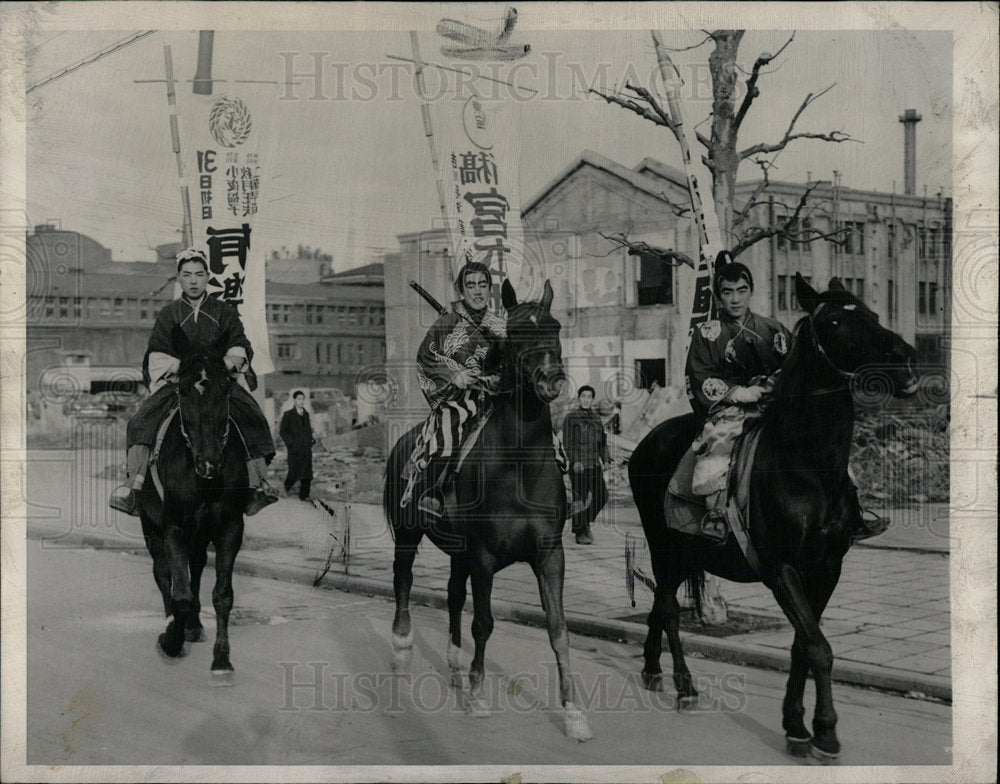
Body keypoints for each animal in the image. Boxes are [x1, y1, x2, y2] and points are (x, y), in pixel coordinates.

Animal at [138, 322, 249, 684]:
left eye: (225, 389)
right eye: (183, 390)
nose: (209, 463)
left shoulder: (230, 526)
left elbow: (222, 594)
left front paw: (222, 658)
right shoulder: (172, 524)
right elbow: (180, 594)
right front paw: (170, 639)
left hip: (201, 532)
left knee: (197, 567)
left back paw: (194, 626)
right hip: (152, 526)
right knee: (164, 574)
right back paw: (175, 624)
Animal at [380, 280, 584, 740]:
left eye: (555, 327)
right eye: (517, 335)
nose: (551, 379)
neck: (520, 465)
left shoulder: (550, 554)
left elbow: (558, 628)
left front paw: (574, 711)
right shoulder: (485, 555)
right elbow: (485, 624)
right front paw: (477, 694)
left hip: (459, 550)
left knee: (455, 594)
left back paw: (454, 663)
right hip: (408, 533)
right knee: (403, 581)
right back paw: (400, 647)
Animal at [628, 276, 916, 760]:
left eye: (873, 314)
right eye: (833, 322)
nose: (907, 361)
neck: (807, 466)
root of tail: (646, 442)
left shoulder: (826, 569)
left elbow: (803, 645)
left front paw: (797, 725)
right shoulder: (781, 569)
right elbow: (818, 647)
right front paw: (825, 732)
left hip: (684, 552)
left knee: (658, 607)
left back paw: (652, 669)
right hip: (661, 544)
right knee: (667, 610)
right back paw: (684, 687)